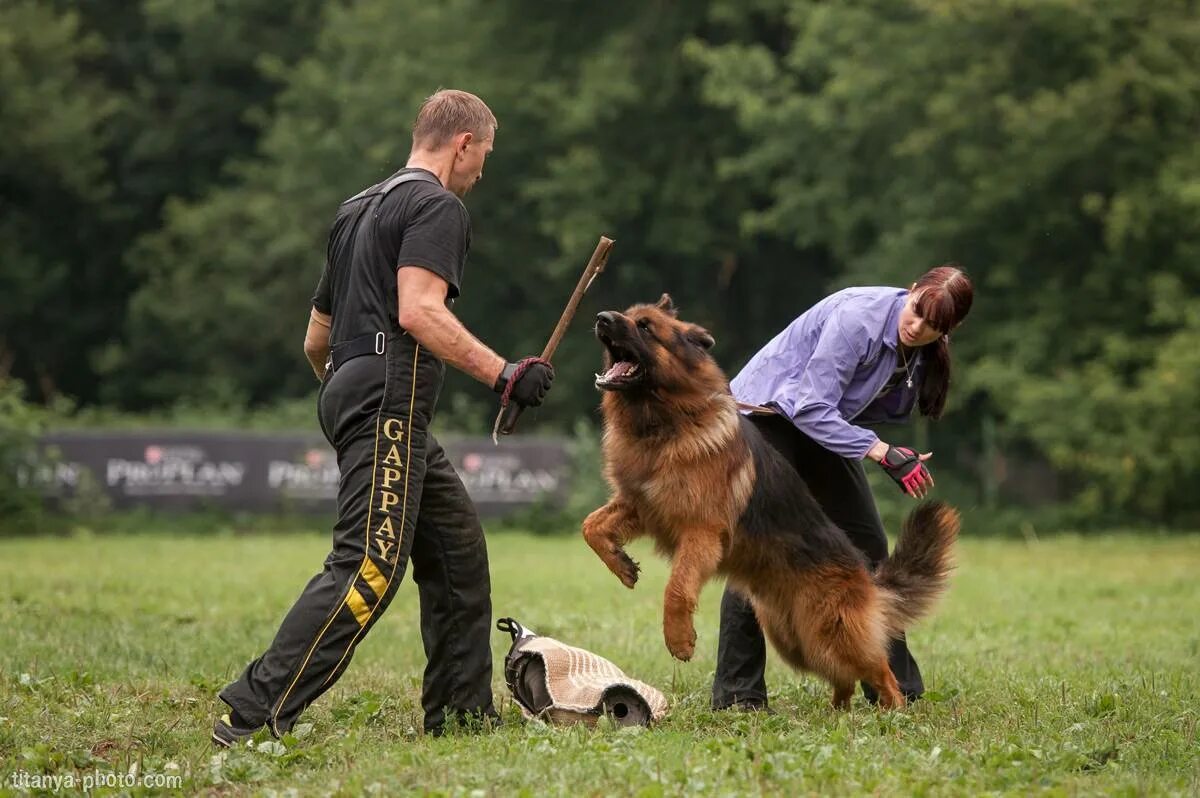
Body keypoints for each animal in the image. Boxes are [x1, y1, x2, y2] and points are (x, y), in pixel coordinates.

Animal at [580, 295, 955, 705]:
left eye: (645, 327)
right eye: (628, 316)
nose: (601, 318)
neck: (664, 423)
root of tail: (866, 576)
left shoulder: (701, 533)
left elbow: (677, 588)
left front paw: (680, 640)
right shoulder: (640, 504)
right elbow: (590, 526)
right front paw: (622, 565)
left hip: (831, 629)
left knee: (877, 669)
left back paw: (894, 709)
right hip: (793, 638)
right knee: (841, 675)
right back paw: (838, 712)